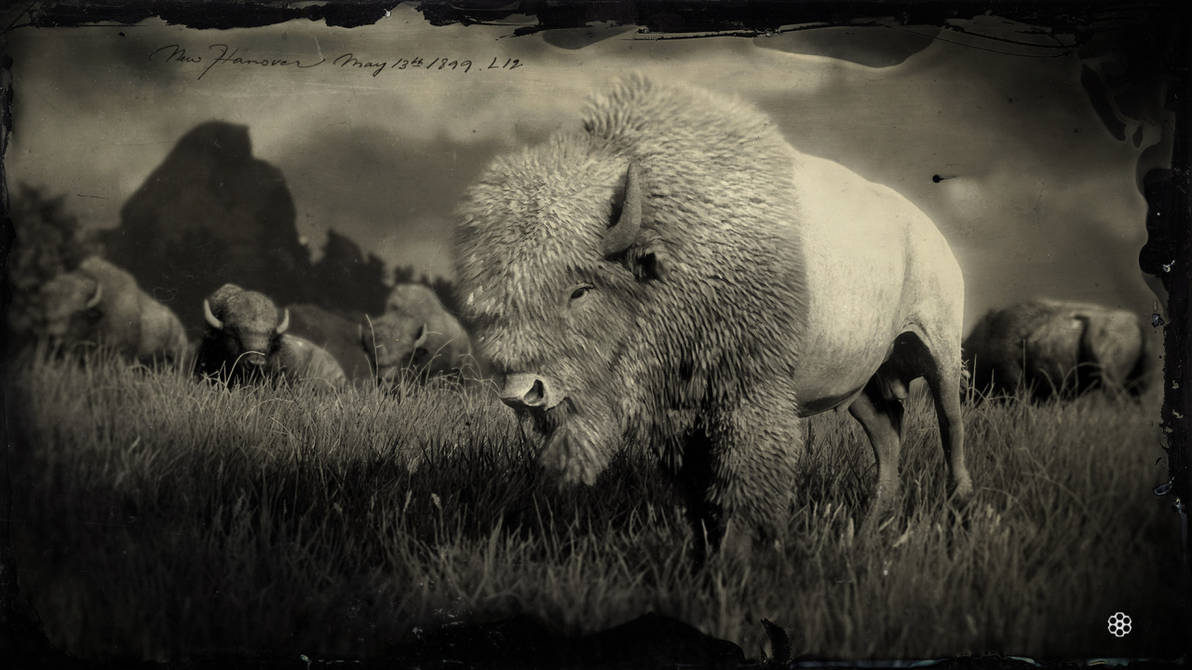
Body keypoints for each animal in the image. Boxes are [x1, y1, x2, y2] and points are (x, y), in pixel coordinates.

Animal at [454, 75, 973, 562]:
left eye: (581, 289)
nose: (525, 392)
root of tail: (927, 229)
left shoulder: (746, 395)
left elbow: (738, 481)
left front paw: (735, 560)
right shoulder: (680, 416)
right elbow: (700, 495)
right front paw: (705, 558)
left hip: (939, 351)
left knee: (951, 426)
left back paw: (959, 510)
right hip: (861, 386)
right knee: (887, 440)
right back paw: (869, 533)